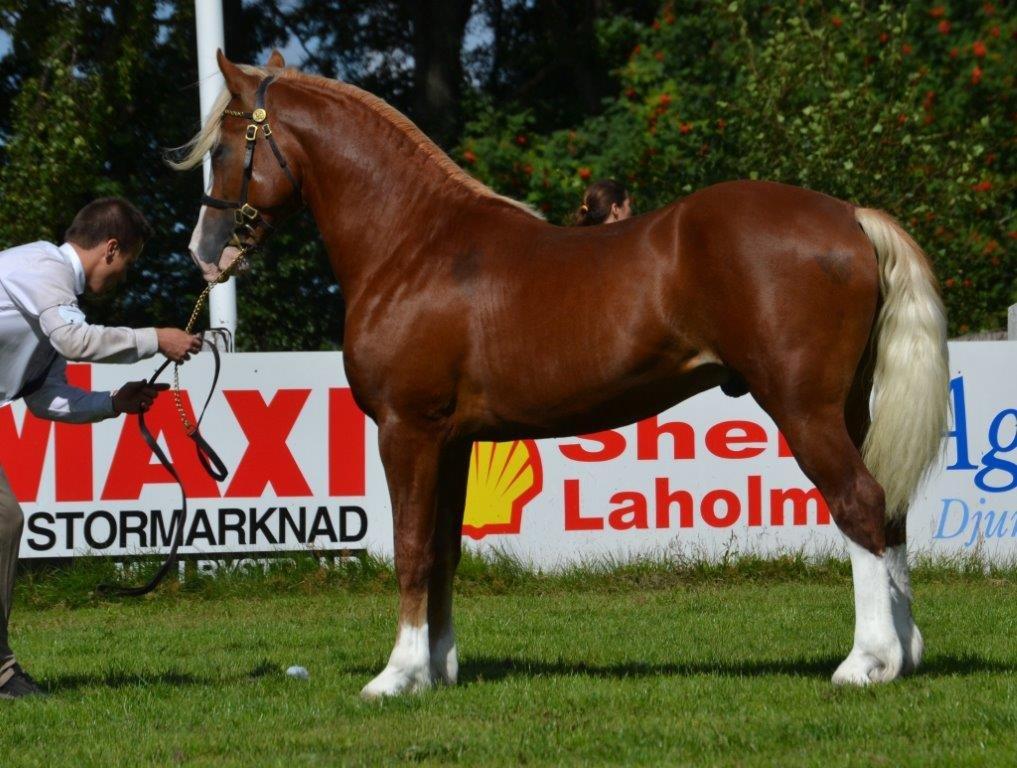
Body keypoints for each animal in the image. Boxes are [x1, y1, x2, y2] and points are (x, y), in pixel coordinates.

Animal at [176, 52, 951, 695]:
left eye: (226, 148)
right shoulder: (451, 442)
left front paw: (397, 675)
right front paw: (439, 669)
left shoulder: (406, 431)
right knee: (887, 508)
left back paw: (867, 662)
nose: (203, 251)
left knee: (857, 502)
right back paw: (907, 653)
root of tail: (848, 216)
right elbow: (444, 551)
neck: (414, 246)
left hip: (802, 407)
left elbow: (410, 551)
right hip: (849, 407)